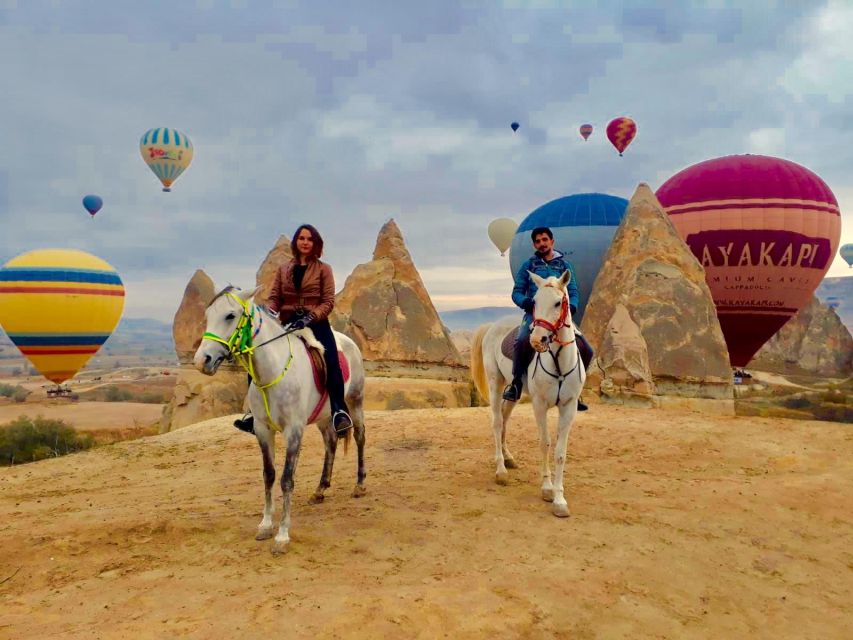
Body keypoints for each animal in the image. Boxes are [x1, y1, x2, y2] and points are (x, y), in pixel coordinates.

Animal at [193, 286, 366, 556]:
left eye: (230, 316)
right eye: (208, 315)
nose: (202, 361)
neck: (272, 372)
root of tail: (349, 342)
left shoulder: (293, 431)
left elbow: (286, 480)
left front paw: (282, 536)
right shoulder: (263, 430)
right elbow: (269, 475)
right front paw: (265, 525)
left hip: (355, 401)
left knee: (359, 436)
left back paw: (359, 484)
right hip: (323, 416)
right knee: (330, 443)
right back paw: (320, 489)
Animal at [472, 268, 584, 516]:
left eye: (558, 302)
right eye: (534, 302)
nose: (537, 339)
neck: (559, 362)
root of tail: (492, 325)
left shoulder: (569, 407)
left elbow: (561, 452)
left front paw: (560, 500)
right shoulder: (540, 405)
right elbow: (545, 443)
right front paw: (547, 489)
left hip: (513, 392)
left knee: (505, 418)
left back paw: (508, 458)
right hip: (495, 383)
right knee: (497, 422)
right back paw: (501, 469)